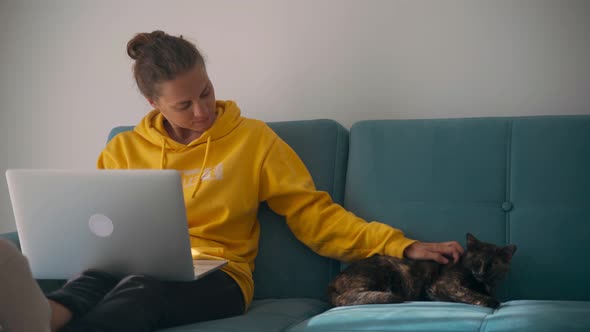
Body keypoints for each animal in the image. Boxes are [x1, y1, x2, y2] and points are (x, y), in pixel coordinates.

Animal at [328, 233, 520, 308]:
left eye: (492, 265)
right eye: (477, 261)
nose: (480, 273)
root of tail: (333, 280)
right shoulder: (445, 284)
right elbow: (469, 293)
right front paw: (491, 301)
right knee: (347, 298)